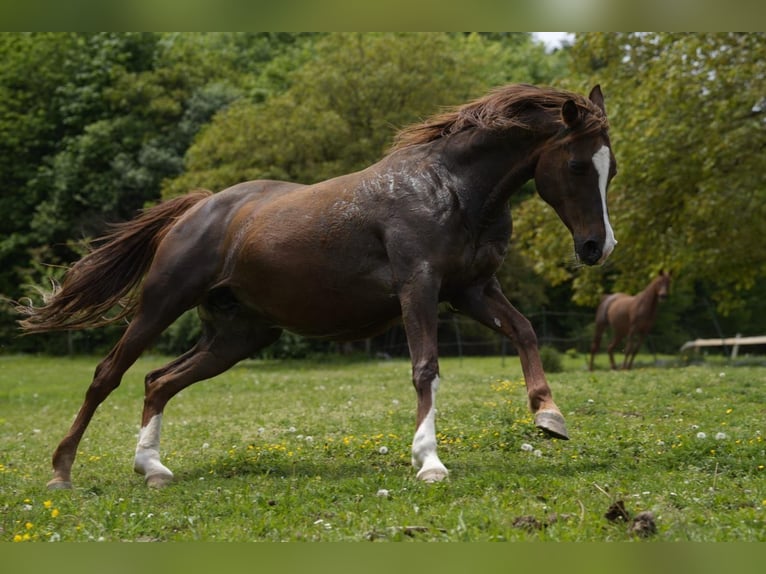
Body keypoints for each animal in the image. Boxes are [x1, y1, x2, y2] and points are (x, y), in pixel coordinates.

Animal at [17, 83, 617, 489]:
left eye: (610, 170)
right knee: (109, 375)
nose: (598, 247)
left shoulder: (470, 290)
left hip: (237, 336)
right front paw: (429, 461)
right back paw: (62, 471)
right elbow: (426, 368)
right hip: (160, 306)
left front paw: (549, 416)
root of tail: (200, 207)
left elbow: (524, 331)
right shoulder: (419, 286)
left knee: (157, 381)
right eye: (577, 165)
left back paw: (153, 468)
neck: (451, 189)